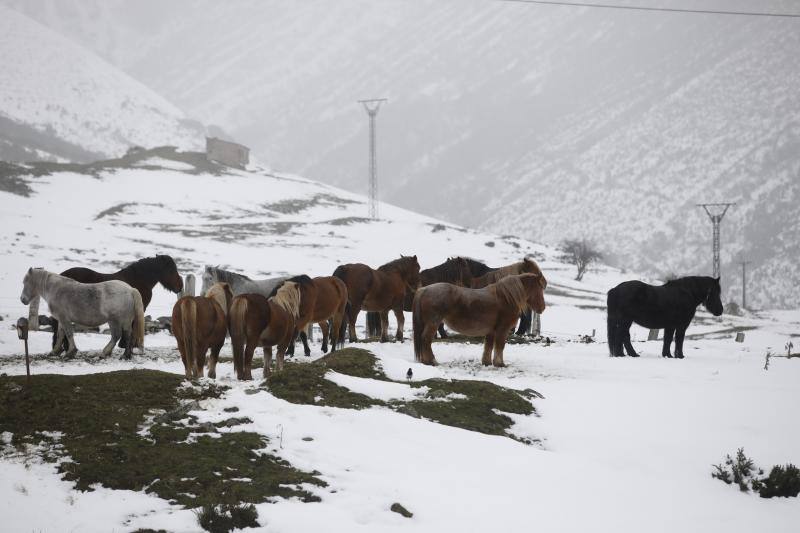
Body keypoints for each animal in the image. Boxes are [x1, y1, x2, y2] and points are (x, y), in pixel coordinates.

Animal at [412, 274, 552, 366]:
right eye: (539, 288)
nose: (542, 308)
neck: (506, 298)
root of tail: (424, 289)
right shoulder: (502, 329)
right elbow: (500, 346)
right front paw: (499, 363)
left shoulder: (491, 331)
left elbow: (488, 346)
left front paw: (487, 362)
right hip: (433, 323)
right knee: (426, 339)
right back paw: (432, 361)